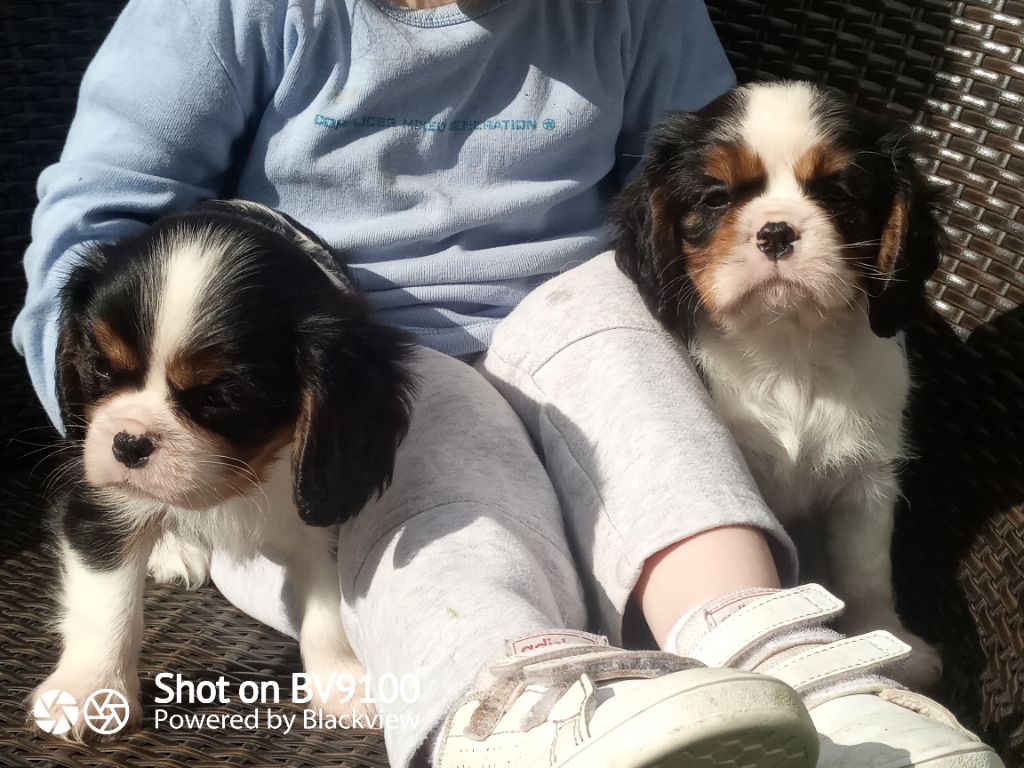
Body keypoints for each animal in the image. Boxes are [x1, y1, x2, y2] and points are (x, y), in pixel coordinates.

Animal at [31, 199, 415, 739]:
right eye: (102, 368)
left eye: (220, 397)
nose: (128, 443)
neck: (239, 479)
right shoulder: (101, 503)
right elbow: (107, 604)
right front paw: (92, 691)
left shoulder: (322, 513)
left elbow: (327, 608)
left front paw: (344, 681)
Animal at [615, 81, 943, 689]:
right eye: (715, 198)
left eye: (839, 193)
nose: (775, 231)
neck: (786, 347)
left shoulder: (866, 482)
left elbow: (866, 572)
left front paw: (895, 644)